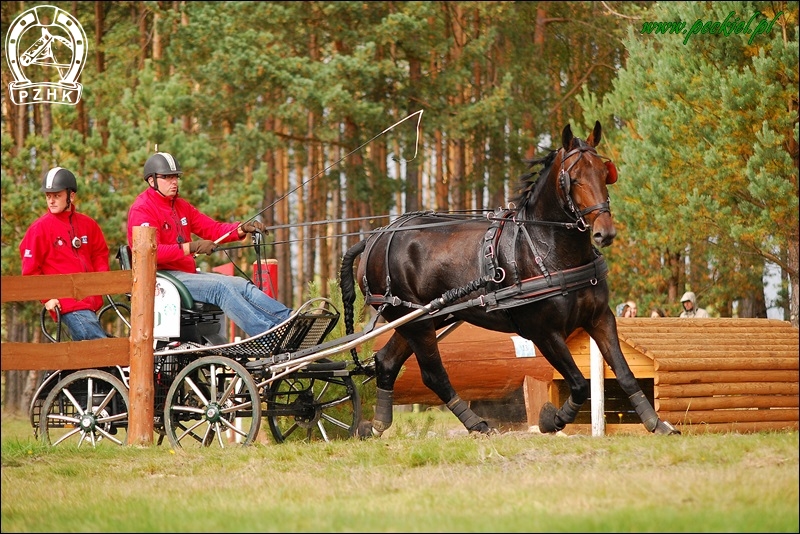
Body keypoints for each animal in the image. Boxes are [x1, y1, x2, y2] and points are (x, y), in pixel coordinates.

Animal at [340, 122, 680, 440]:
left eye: (603, 171)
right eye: (572, 178)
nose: (604, 232)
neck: (547, 248)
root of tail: (376, 237)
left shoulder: (600, 318)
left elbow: (624, 373)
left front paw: (657, 424)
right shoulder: (544, 332)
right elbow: (579, 383)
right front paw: (551, 420)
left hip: (422, 318)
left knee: (386, 361)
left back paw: (377, 426)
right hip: (417, 322)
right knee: (434, 374)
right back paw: (476, 424)